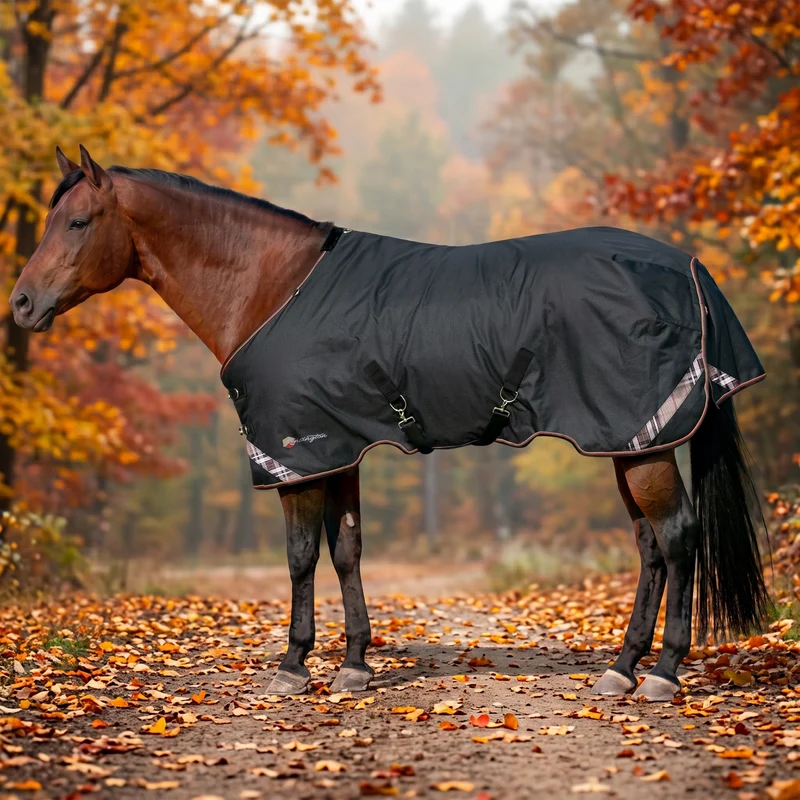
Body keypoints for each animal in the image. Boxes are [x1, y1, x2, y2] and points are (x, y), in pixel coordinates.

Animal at [9, 146, 768, 702]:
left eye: (77, 222)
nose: (20, 304)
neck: (272, 288)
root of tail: (688, 267)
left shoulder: (295, 452)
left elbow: (300, 557)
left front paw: (293, 665)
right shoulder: (338, 448)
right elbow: (346, 550)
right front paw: (353, 664)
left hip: (642, 441)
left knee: (677, 537)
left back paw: (662, 674)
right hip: (626, 441)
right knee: (650, 547)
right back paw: (622, 668)